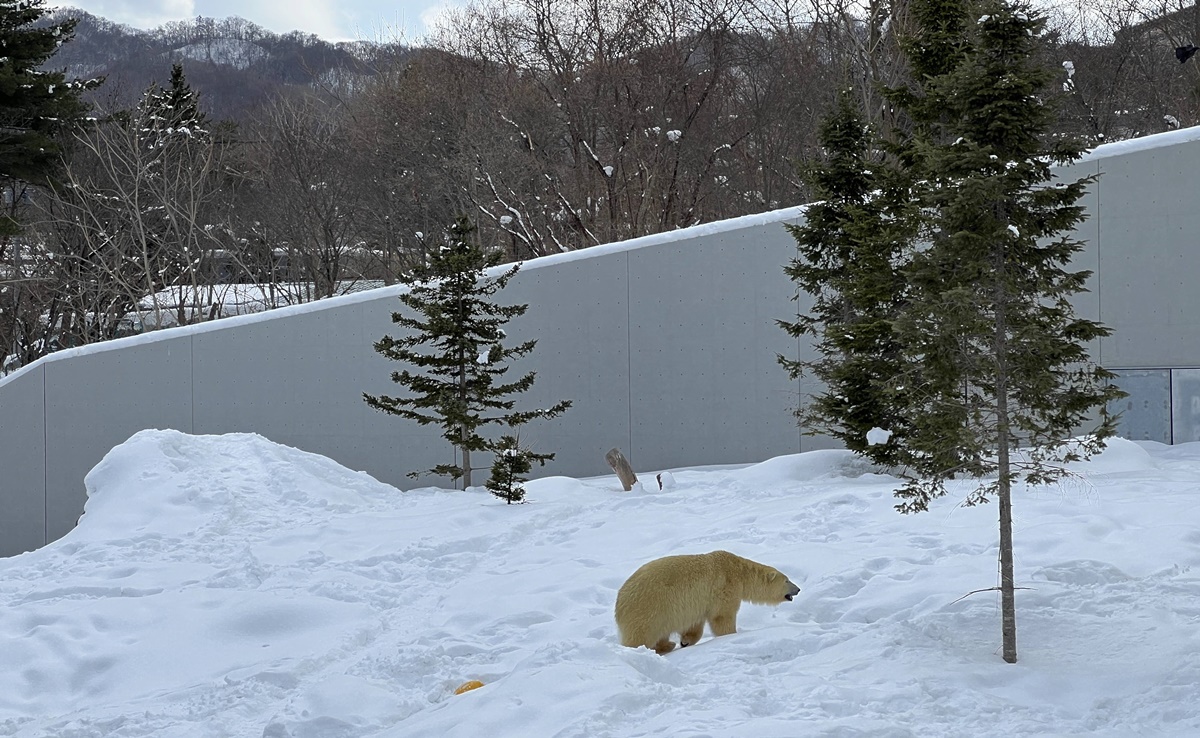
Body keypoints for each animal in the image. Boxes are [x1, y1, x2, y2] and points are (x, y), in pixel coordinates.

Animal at [614, 552, 801, 657]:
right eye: (787, 580)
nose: (798, 589)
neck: (739, 571)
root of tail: (619, 603)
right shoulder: (725, 587)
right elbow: (722, 617)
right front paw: (731, 636)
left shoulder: (696, 604)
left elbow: (694, 626)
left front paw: (685, 641)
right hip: (648, 609)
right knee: (640, 636)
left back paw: (668, 645)